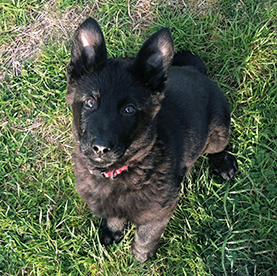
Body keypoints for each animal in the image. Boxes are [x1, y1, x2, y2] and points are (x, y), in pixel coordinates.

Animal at [66, 17, 236, 264]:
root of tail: (194, 70)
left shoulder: (159, 212)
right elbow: (114, 216)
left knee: (219, 148)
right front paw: (113, 232)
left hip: (219, 131)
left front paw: (141, 258)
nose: (100, 148)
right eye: (89, 102)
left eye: (129, 109)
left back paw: (224, 164)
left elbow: (146, 235)